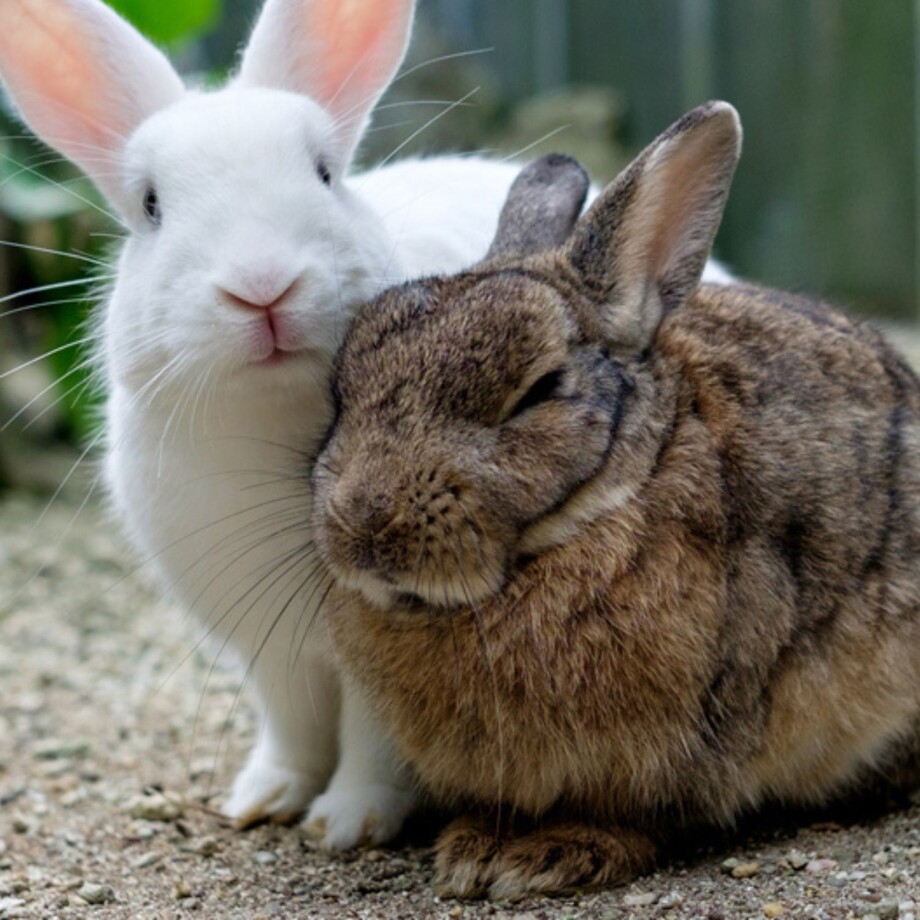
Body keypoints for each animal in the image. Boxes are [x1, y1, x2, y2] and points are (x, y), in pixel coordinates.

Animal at [0, 0, 548, 852]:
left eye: (325, 173)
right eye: (150, 205)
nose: (262, 287)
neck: (272, 418)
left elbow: (376, 739)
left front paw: (347, 822)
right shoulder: (268, 649)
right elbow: (290, 722)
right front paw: (263, 798)